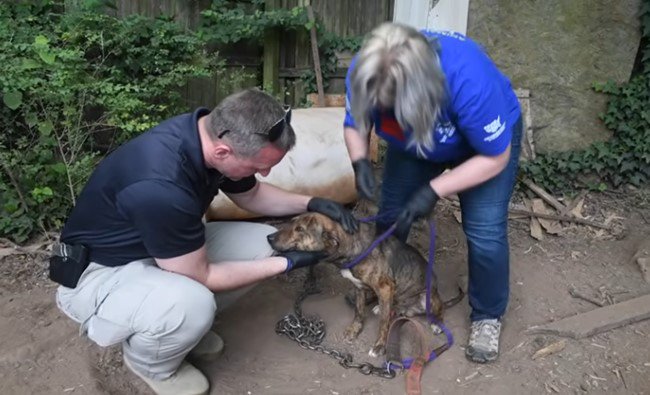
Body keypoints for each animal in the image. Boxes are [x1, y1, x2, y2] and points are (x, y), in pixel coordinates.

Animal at [268, 213, 450, 358]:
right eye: (291, 222)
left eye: (300, 229)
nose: (269, 237)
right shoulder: (359, 287)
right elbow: (358, 311)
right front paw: (354, 330)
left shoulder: (385, 288)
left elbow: (383, 323)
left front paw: (379, 346)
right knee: (394, 308)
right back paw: (384, 308)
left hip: (428, 296)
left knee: (439, 309)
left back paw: (436, 323)